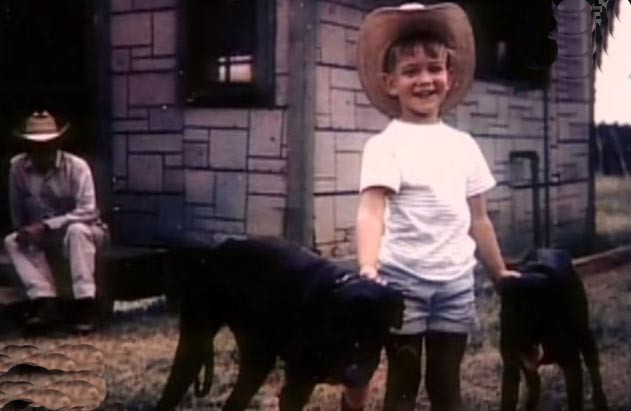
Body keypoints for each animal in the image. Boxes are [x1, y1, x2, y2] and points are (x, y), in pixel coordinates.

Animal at [156, 238, 404, 411]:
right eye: (342, 332)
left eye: (375, 335)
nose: (354, 374)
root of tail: (220, 248)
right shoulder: (296, 386)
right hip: (194, 343)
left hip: (257, 361)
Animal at [498, 248, 608, 411]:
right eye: (509, 308)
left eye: (535, 307)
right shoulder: (512, 366)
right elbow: (508, 399)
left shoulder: (571, 363)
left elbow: (575, 401)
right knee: (535, 384)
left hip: (584, 334)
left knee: (594, 369)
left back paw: (600, 401)